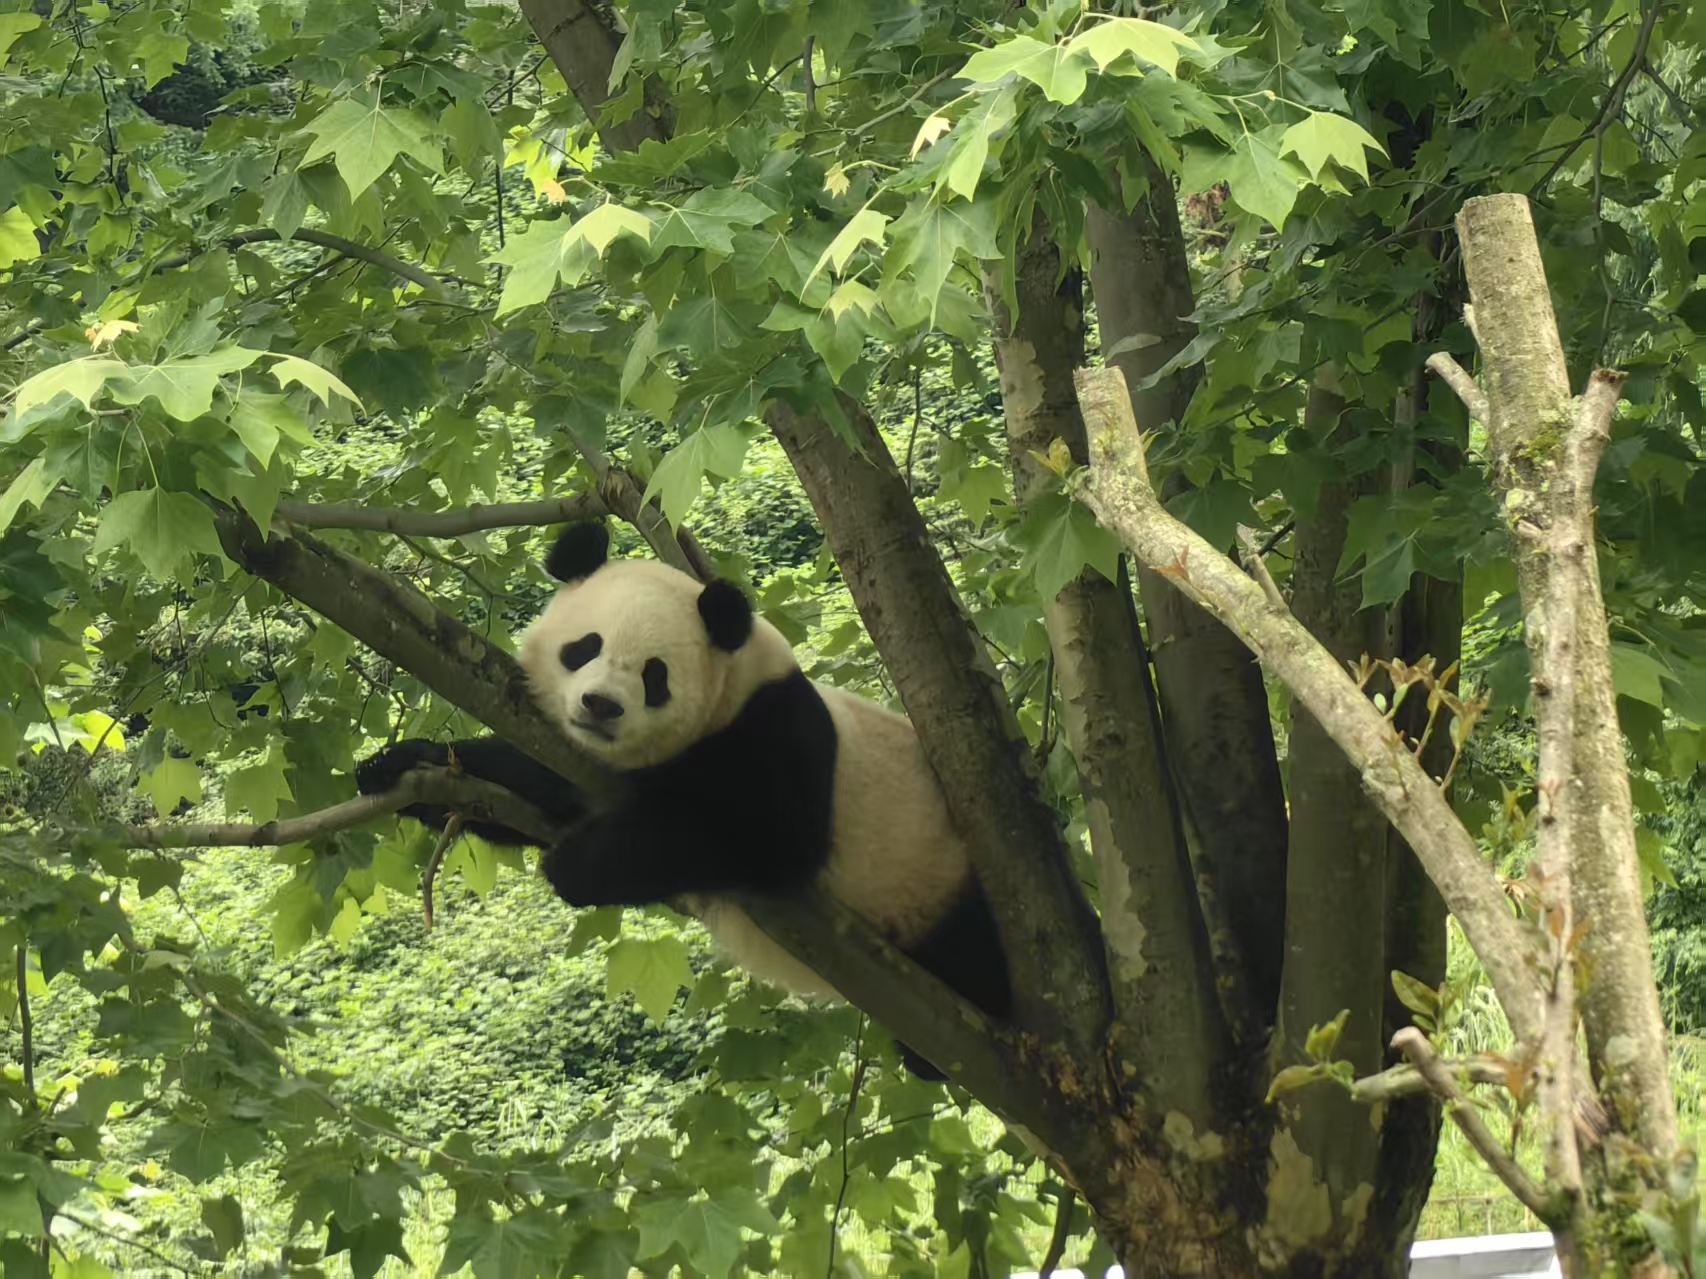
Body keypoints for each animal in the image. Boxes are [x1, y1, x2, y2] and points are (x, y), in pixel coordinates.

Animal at [354, 521, 1012, 1079]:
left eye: (654, 675)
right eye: (585, 647)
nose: (600, 705)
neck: (736, 682)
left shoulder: (776, 732)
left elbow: (757, 839)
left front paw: (573, 866)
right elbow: (544, 790)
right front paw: (400, 767)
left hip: (941, 885)